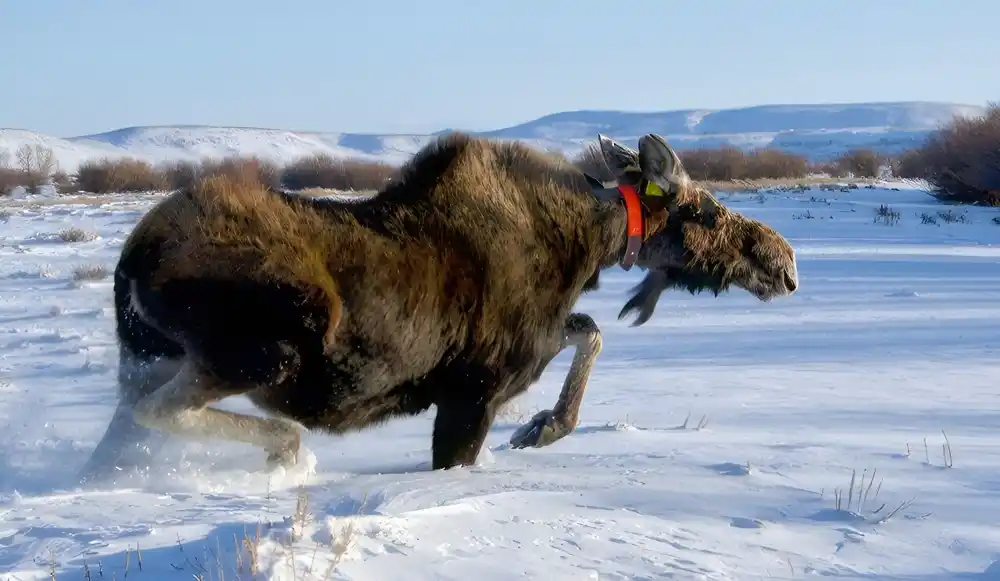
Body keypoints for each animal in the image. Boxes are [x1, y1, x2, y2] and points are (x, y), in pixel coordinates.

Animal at [76, 130, 796, 480]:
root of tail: (134, 257)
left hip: (147, 354)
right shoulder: (476, 390)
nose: (784, 264)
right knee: (165, 408)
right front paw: (540, 427)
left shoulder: (532, 344)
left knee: (117, 438)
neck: (588, 245)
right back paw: (287, 454)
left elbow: (590, 330)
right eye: (705, 211)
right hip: (270, 342)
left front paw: (543, 427)